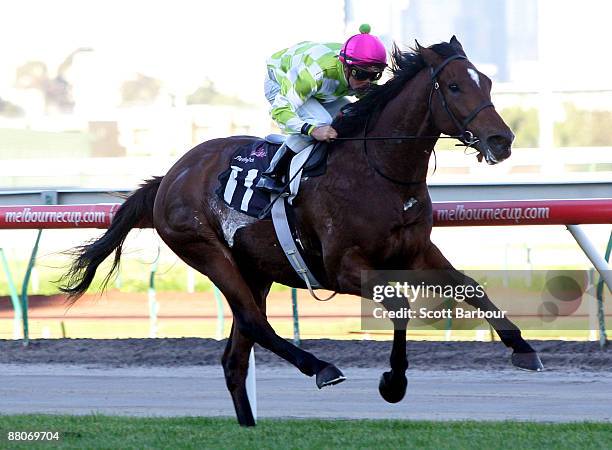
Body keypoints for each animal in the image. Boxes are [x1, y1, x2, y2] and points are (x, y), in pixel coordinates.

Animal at [62, 37, 544, 428]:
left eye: (487, 83)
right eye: (456, 87)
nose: (501, 141)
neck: (379, 171)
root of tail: (169, 177)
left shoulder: (417, 252)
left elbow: (469, 287)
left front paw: (522, 347)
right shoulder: (343, 268)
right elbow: (400, 306)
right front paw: (393, 383)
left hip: (255, 269)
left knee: (236, 356)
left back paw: (250, 426)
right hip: (207, 252)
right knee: (254, 322)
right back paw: (321, 368)